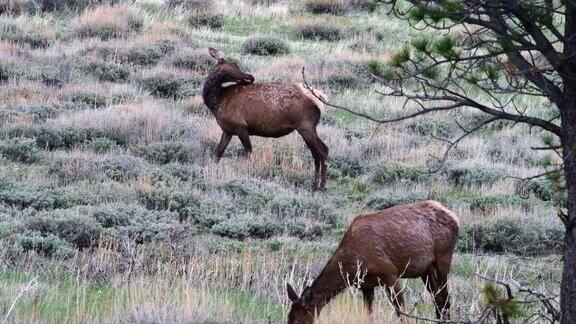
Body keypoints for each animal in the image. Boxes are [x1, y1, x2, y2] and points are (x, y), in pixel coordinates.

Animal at [201, 46, 328, 191]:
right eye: (234, 64)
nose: (250, 77)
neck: (217, 103)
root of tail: (320, 99)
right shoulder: (227, 130)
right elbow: (218, 153)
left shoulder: (241, 126)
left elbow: (249, 152)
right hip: (307, 128)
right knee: (315, 153)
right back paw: (315, 184)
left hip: (306, 126)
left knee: (323, 150)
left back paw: (321, 186)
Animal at [286, 201, 460, 322]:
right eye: (288, 317)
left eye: (298, 320)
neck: (353, 265)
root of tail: (455, 217)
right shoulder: (366, 285)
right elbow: (368, 316)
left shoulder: (391, 274)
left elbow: (402, 313)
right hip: (426, 269)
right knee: (439, 300)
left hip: (444, 257)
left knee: (446, 299)